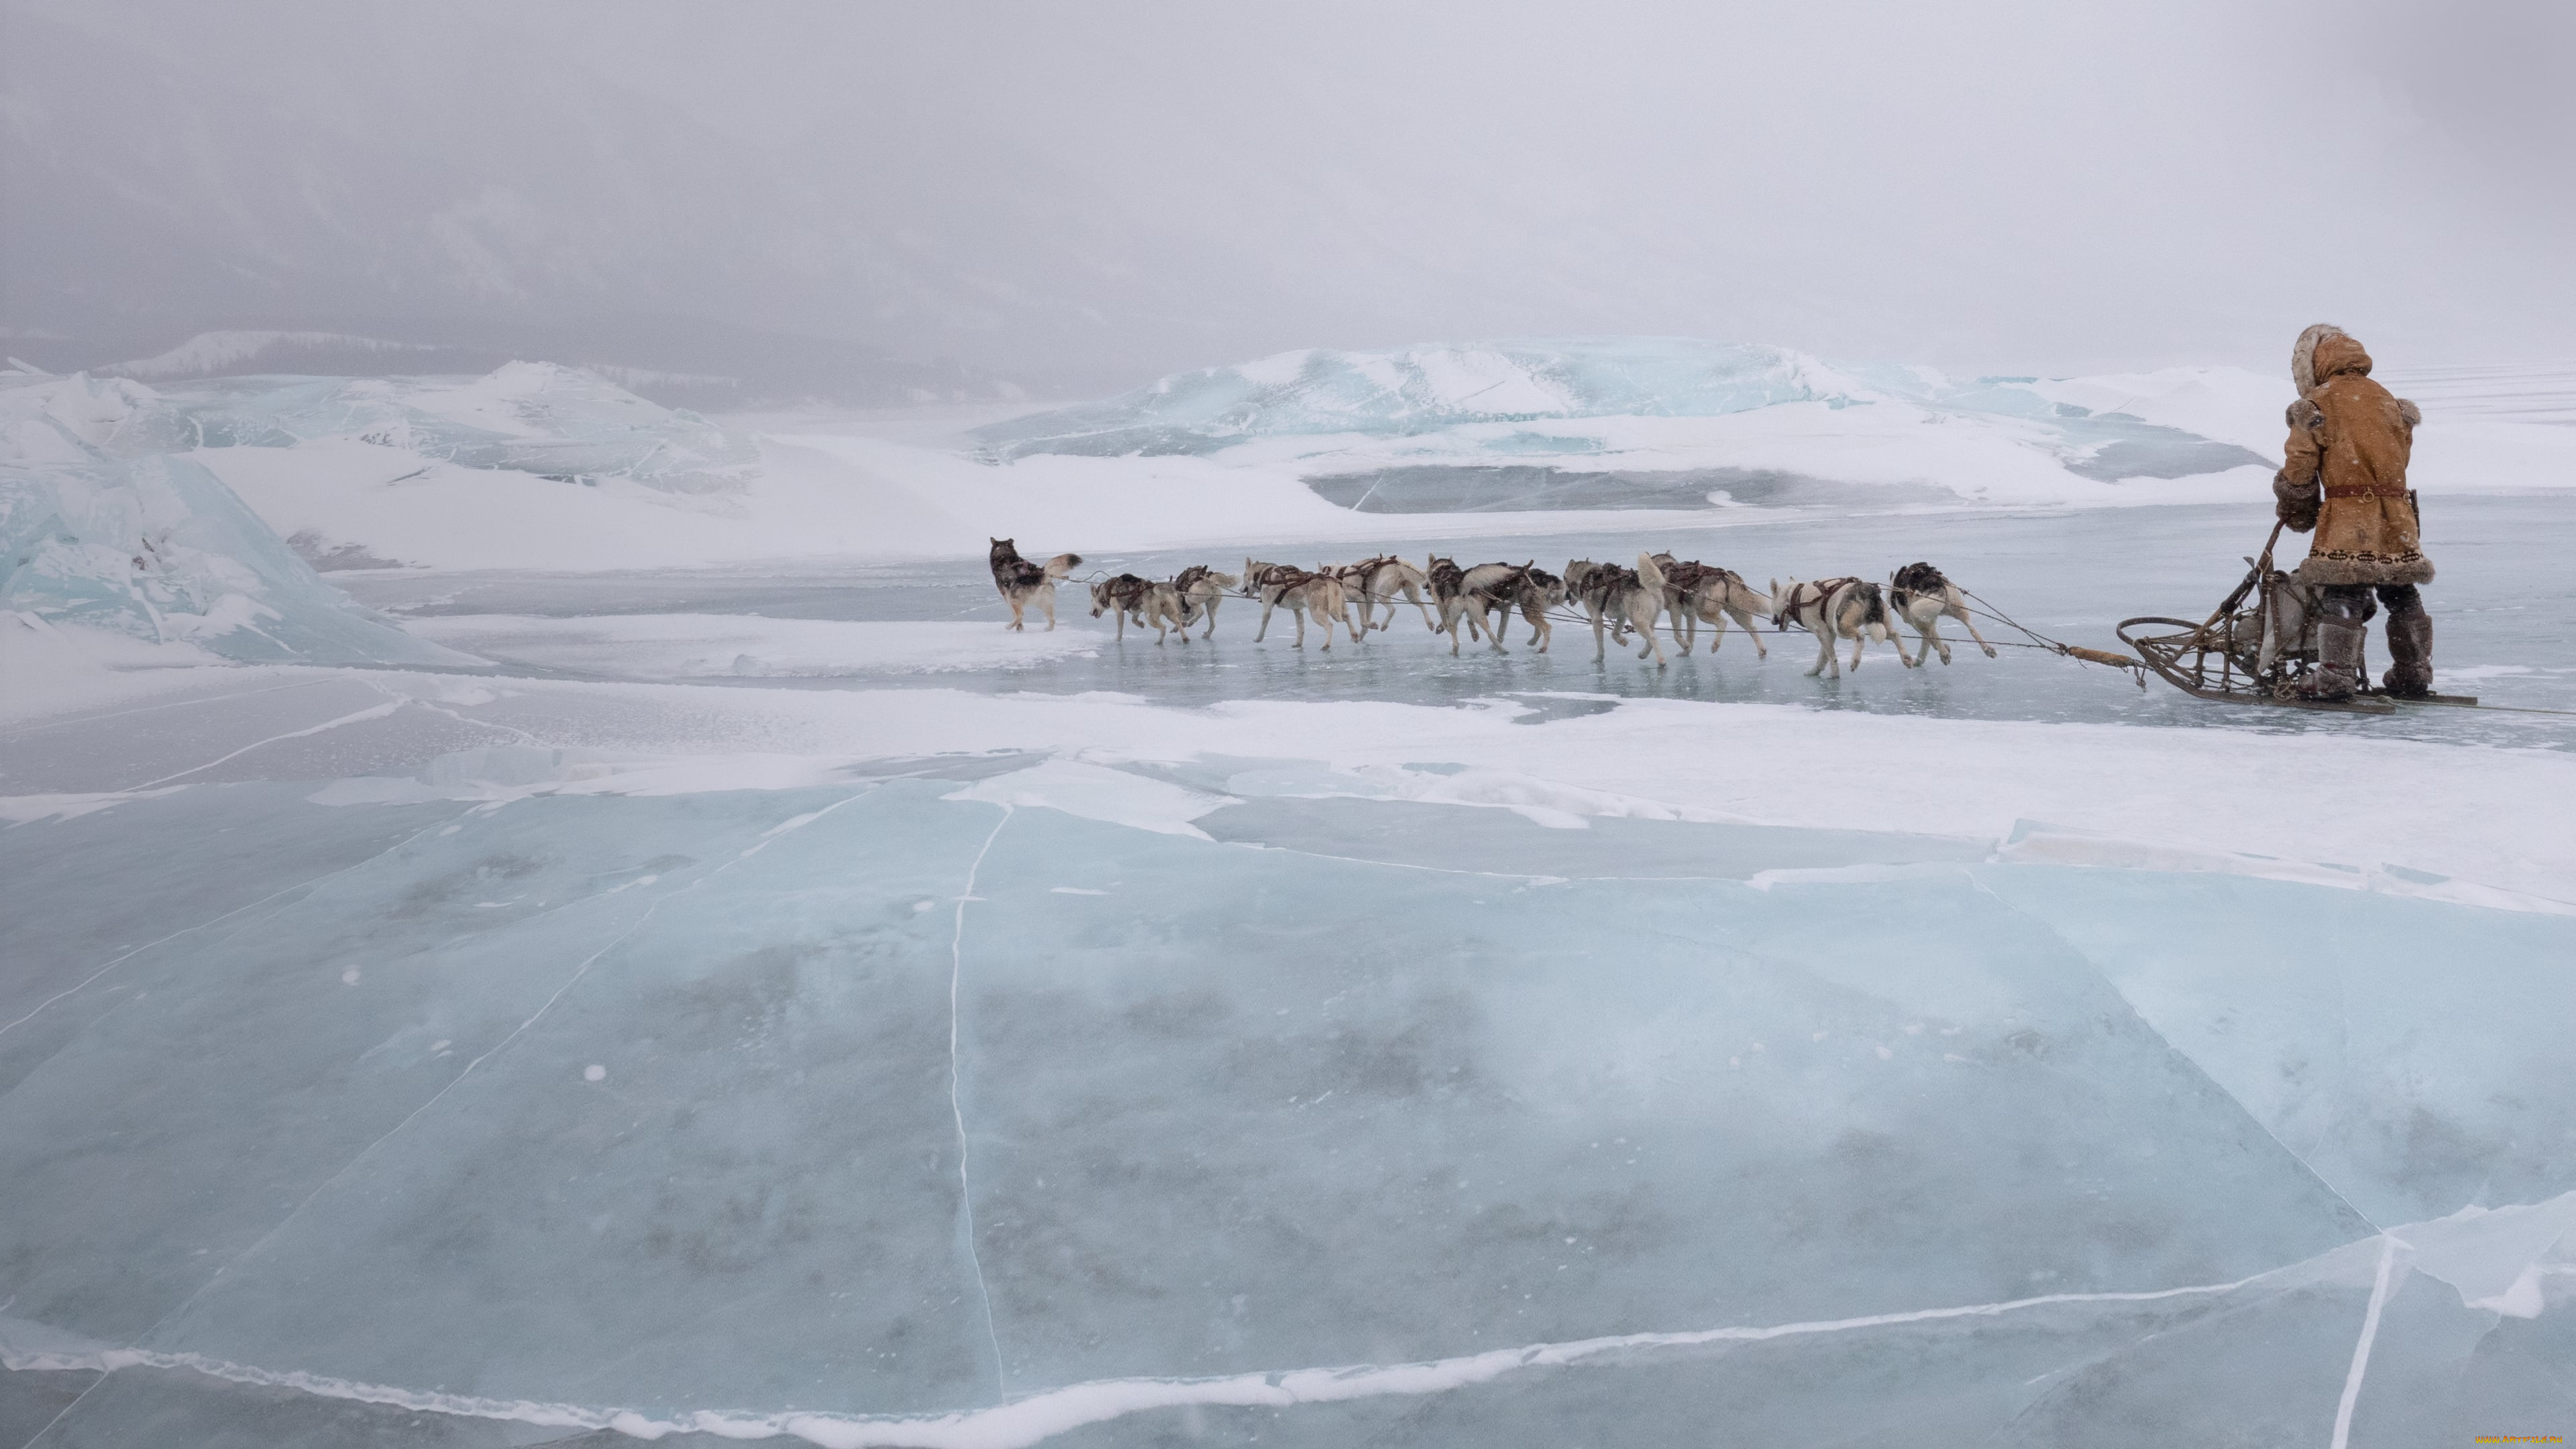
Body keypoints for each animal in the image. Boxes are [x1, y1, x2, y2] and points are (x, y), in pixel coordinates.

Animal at [973, 536, 1077, 626]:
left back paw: (1009, 626)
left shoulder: (1006, 596)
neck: (1004, 556)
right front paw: (1020, 628)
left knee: (1020, 616)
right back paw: (1046, 629)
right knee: (1052, 620)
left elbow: (1015, 614)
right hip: (1044, 602)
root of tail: (1040, 576)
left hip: (1015, 599)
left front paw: (1018, 628)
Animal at [1648, 554, 1772, 657]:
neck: (1661, 570)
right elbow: (1690, 635)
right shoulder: (1690, 613)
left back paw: (1715, 645)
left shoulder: (1675, 609)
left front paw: (1685, 647)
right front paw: (1686, 651)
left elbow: (1677, 634)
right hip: (1737, 613)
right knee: (1753, 628)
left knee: (1723, 623)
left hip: (1703, 612)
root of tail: (1725, 575)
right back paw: (1762, 651)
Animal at [1772, 570, 1896, 675]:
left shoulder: (1822, 632)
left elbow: (1832, 657)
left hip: (1841, 628)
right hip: (1881, 626)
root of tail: (1867, 590)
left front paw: (1834, 675)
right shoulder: (1829, 633)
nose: (1772, 621)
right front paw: (1815, 670)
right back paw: (1902, 656)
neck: (1796, 596)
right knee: (1895, 635)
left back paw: (1855, 660)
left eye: (1772, 602)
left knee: (1860, 636)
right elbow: (1823, 657)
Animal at [1885, 559, 1998, 665]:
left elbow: (1929, 636)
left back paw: (1944, 654)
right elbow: (1928, 639)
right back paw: (1987, 649)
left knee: (1933, 633)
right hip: (1956, 608)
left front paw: (1939, 648)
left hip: (1918, 614)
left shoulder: (1913, 622)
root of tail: (1930, 578)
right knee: (1971, 628)